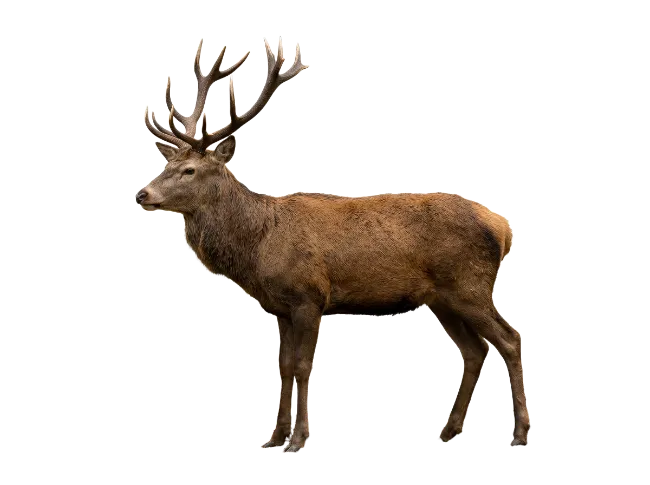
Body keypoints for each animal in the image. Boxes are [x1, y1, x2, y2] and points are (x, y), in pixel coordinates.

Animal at [135, 36, 530, 452]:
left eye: (189, 170)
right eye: (165, 165)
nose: (143, 194)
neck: (258, 248)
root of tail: (505, 228)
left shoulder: (310, 296)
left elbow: (302, 367)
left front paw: (297, 440)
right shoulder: (280, 307)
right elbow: (283, 367)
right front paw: (274, 438)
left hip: (470, 285)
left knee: (509, 339)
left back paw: (520, 432)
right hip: (443, 297)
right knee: (475, 350)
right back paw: (450, 429)